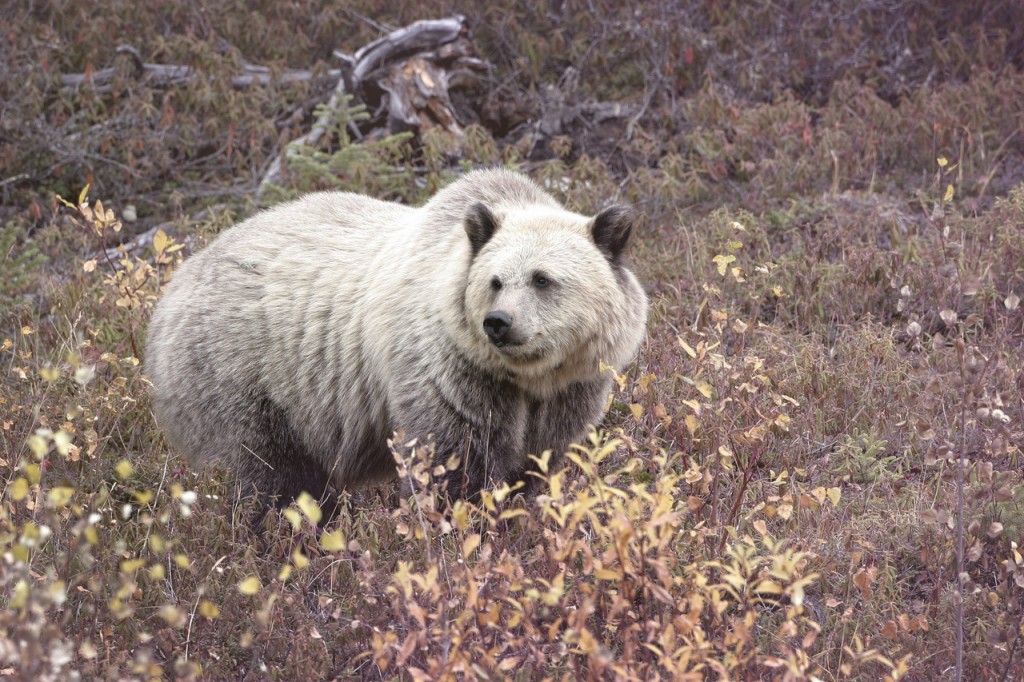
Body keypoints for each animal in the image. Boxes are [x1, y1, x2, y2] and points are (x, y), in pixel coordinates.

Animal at [144, 168, 643, 507]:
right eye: (496, 281)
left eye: (542, 279)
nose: (498, 322)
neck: (527, 378)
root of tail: (174, 286)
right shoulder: (450, 374)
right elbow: (455, 462)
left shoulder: (570, 390)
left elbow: (538, 462)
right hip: (243, 374)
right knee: (271, 474)